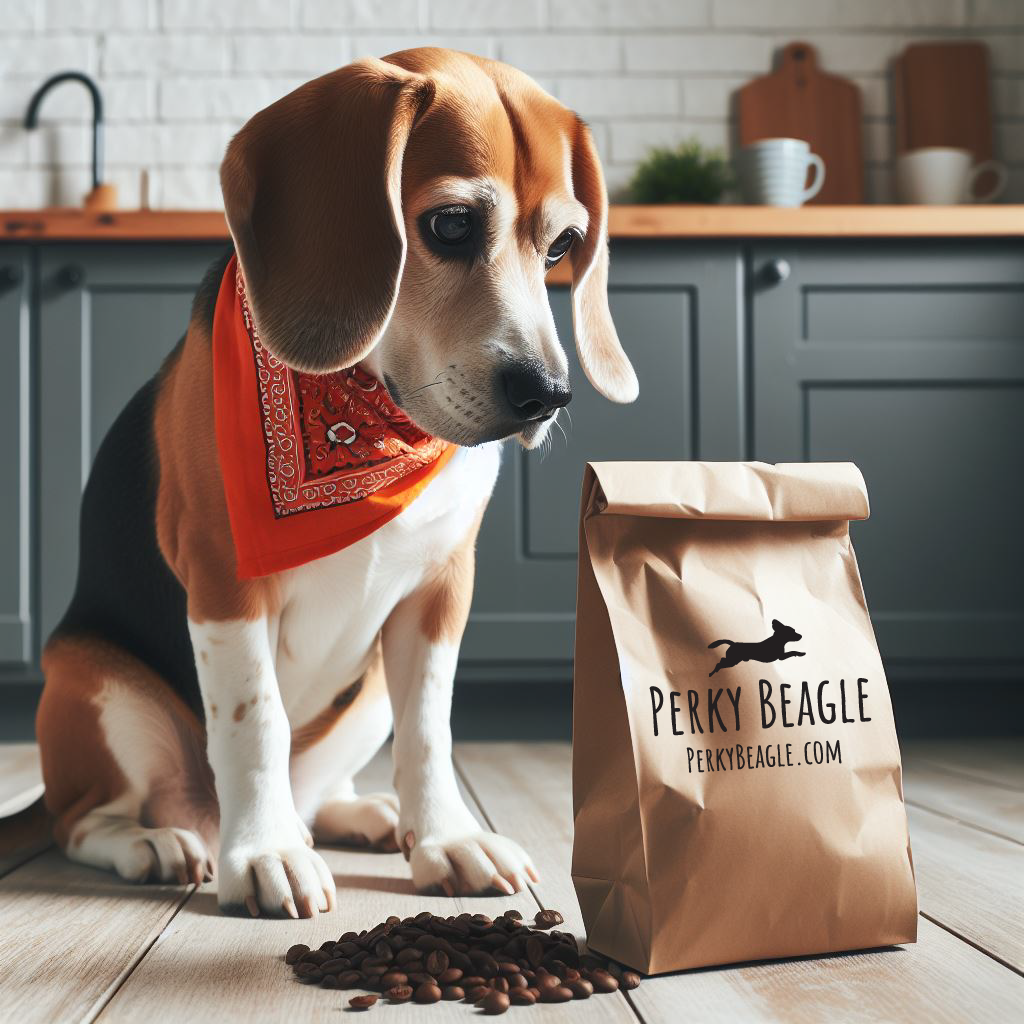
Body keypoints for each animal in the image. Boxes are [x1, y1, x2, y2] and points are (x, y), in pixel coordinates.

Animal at [37, 48, 630, 921]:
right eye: (450, 225)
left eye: (561, 246)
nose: (546, 394)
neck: (373, 420)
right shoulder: (223, 582)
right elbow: (253, 721)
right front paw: (265, 853)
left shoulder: (443, 588)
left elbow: (431, 730)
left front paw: (446, 838)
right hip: (99, 688)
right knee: (82, 819)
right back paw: (159, 842)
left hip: (368, 694)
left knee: (319, 788)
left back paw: (359, 815)